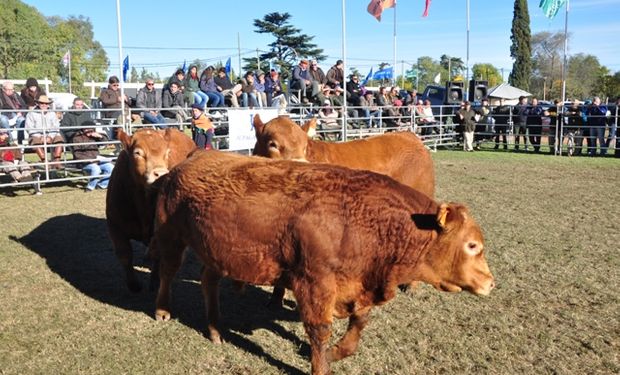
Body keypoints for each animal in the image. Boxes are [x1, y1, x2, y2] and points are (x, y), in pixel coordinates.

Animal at [105, 129, 195, 294]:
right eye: (137, 152)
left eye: (167, 153)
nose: (161, 173)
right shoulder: (114, 225)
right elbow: (124, 254)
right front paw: (133, 285)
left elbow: (158, 257)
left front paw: (155, 282)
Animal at [149, 151, 494, 375]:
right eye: (472, 245)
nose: (490, 283)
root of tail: (187, 161)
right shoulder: (314, 283)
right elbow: (320, 329)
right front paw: (320, 365)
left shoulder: (358, 284)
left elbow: (359, 323)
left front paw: (338, 352)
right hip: (171, 235)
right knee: (167, 271)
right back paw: (163, 310)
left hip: (218, 252)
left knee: (208, 281)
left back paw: (215, 329)